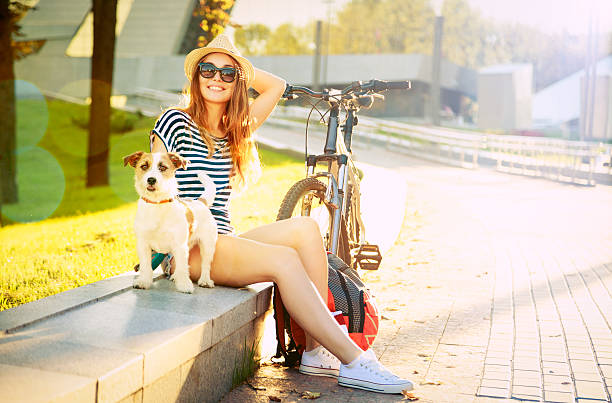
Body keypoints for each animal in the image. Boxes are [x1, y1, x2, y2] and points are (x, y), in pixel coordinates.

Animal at [122, 152, 218, 294]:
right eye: (144, 166)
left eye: (162, 167)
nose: (151, 180)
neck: (157, 204)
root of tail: (200, 202)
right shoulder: (143, 244)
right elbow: (145, 266)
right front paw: (143, 281)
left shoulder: (179, 245)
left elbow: (183, 267)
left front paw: (184, 285)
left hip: (207, 244)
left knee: (205, 264)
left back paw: (205, 280)